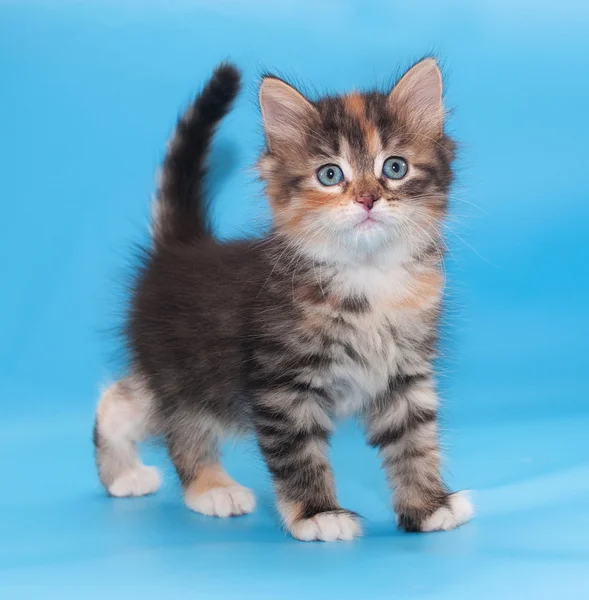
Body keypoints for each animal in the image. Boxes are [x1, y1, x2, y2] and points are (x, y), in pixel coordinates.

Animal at [95, 58, 474, 540]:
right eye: (330, 174)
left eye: (395, 167)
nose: (367, 199)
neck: (367, 276)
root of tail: (179, 249)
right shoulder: (282, 385)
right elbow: (299, 455)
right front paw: (318, 515)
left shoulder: (405, 374)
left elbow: (414, 441)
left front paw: (428, 507)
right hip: (190, 376)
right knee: (177, 427)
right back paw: (210, 488)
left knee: (119, 400)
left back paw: (124, 476)